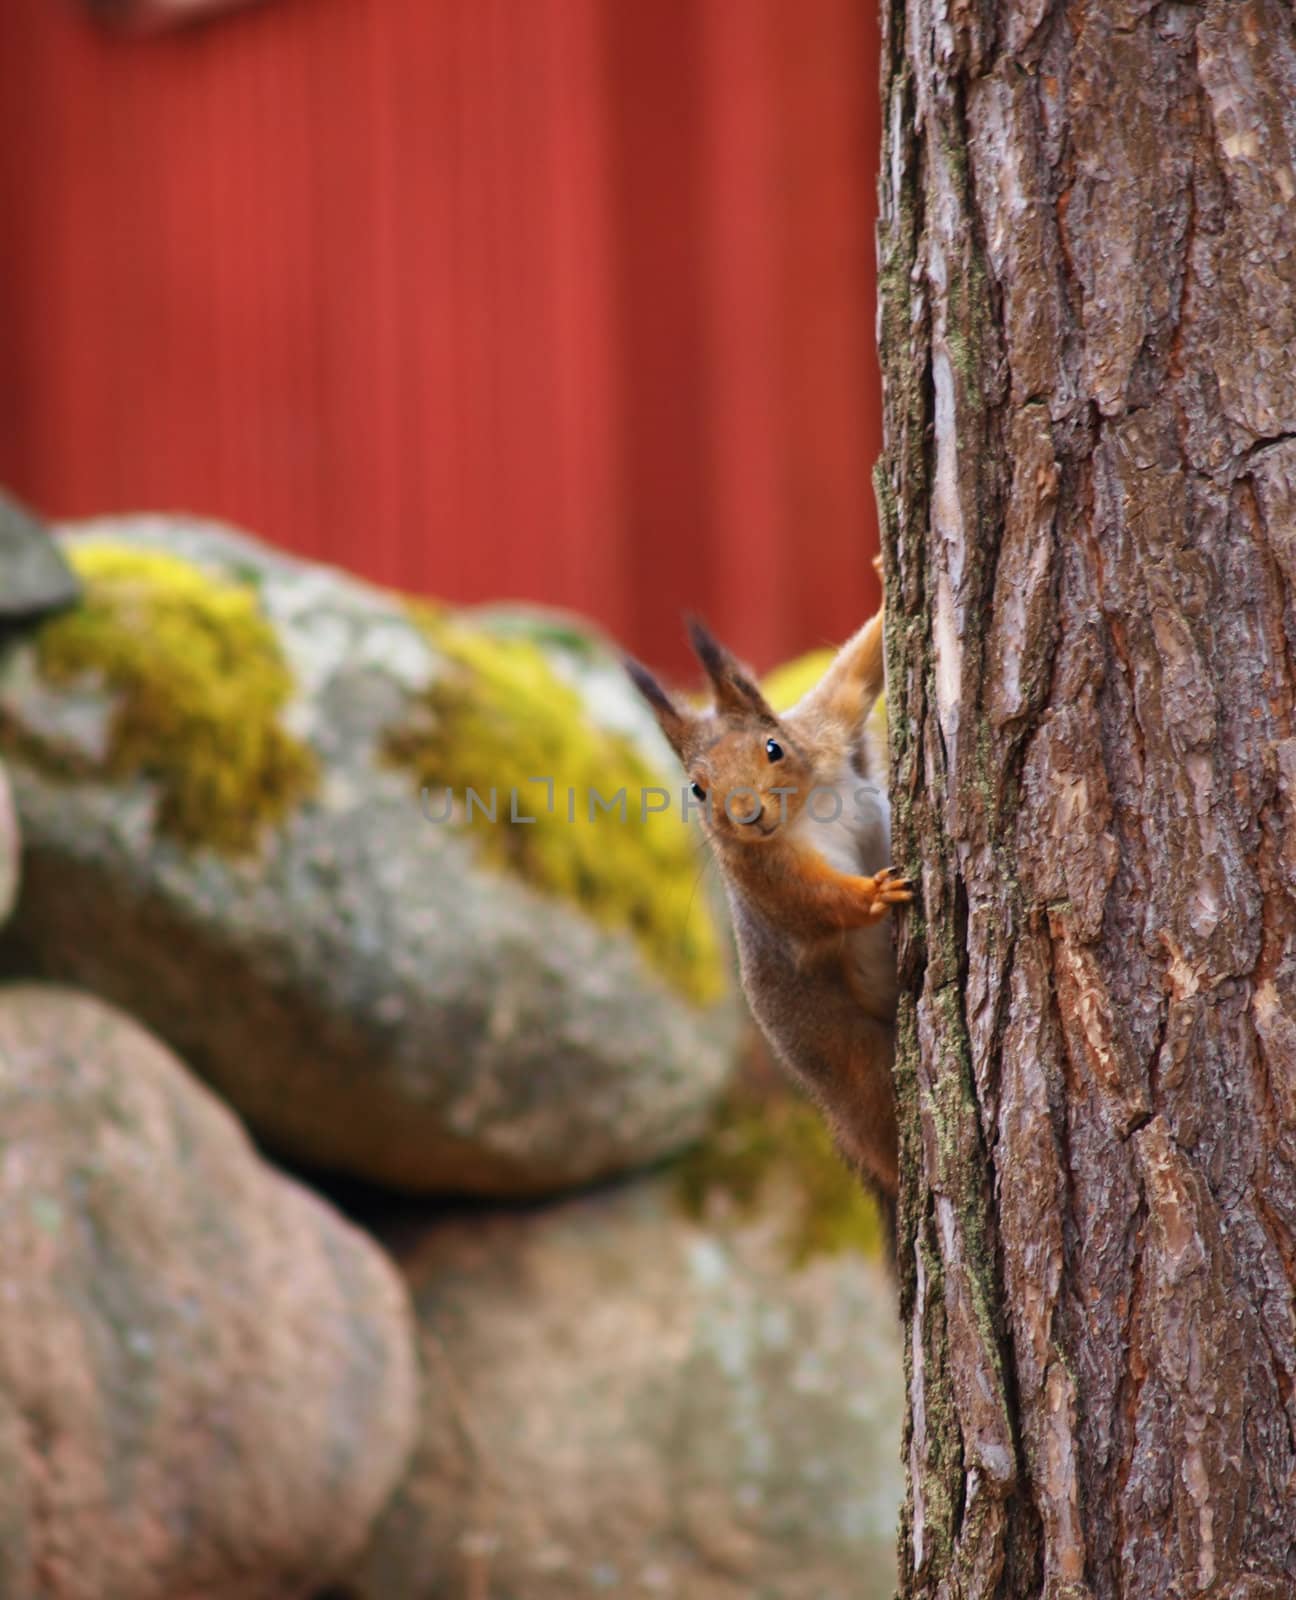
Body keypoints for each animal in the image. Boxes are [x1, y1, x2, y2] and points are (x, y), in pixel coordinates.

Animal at [620, 604, 902, 1203]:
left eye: (773, 747)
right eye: (698, 789)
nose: (748, 816)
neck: (804, 810)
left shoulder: (826, 725)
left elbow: (856, 673)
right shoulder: (763, 877)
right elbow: (814, 902)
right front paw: (873, 893)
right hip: (845, 1056)